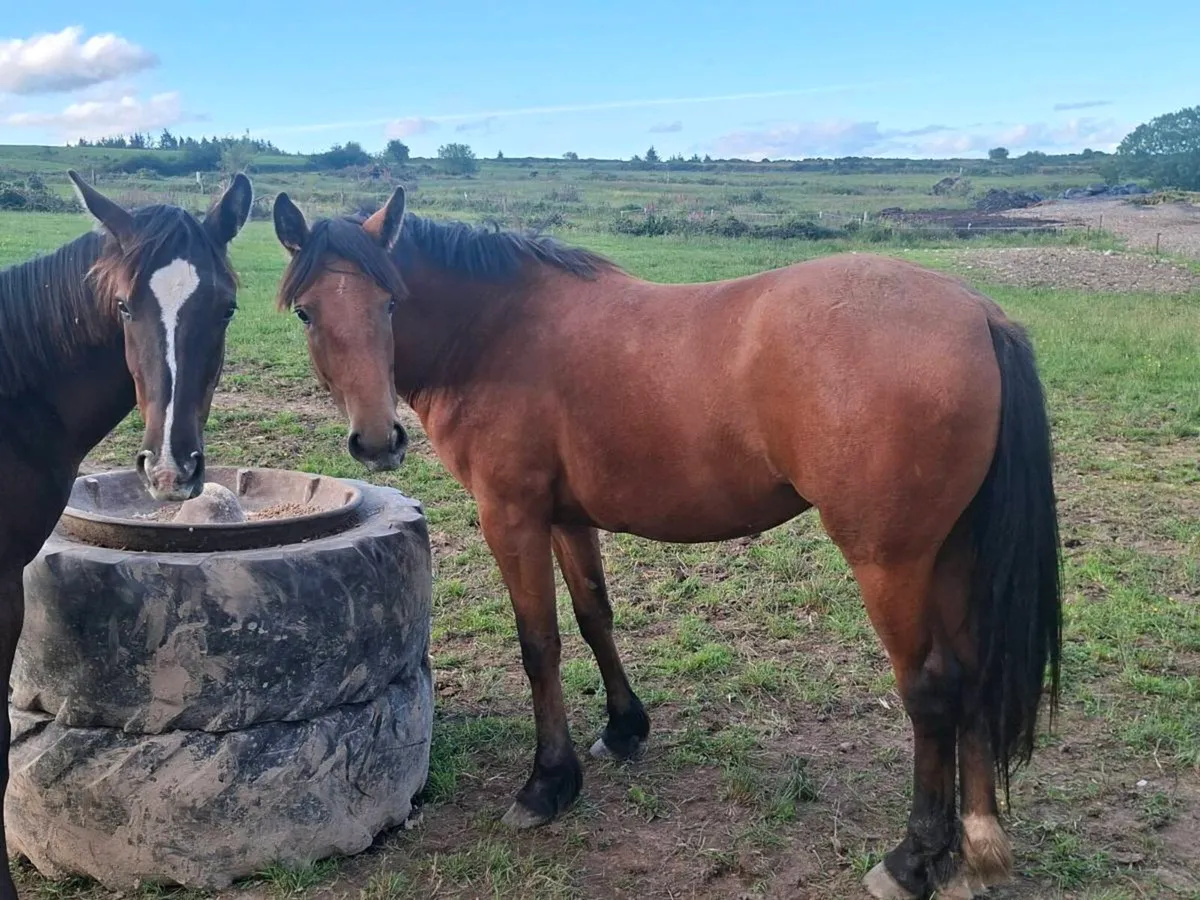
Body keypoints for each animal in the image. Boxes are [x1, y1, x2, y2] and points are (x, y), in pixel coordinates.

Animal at [271, 186, 1062, 900]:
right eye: (309, 311)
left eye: (390, 304)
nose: (377, 440)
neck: (496, 331)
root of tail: (977, 312)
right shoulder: (566, 517)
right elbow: (593, 616)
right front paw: (624, 729)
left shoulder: (511, 516)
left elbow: (539, 643)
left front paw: (547, 782)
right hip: (952, 553)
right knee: (974, 671)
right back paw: (978, 849)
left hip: (890, 563)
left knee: (931, 687)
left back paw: (914, 859)